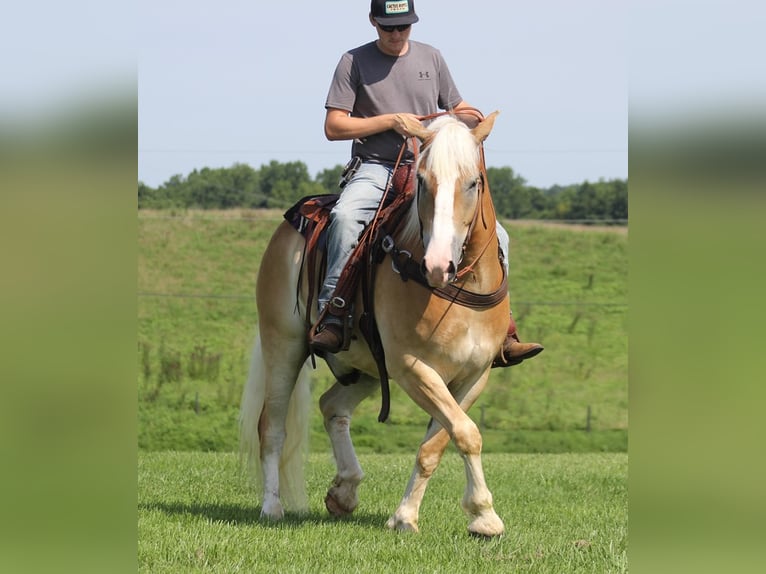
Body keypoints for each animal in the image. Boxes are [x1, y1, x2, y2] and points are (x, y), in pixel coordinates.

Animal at [242, 112, 510, 540]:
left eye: (473, 182)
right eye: (423, 181)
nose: (438, 265)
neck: (458, 289)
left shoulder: (474, 375)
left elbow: (440, 442)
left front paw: (423, 516)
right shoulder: (413, 368)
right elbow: (466, 433)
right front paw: (483, 514)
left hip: (365, 367)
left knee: (332, 405)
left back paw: (345, 490)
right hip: (283, 345)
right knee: (272, 427)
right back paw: (272, 507)